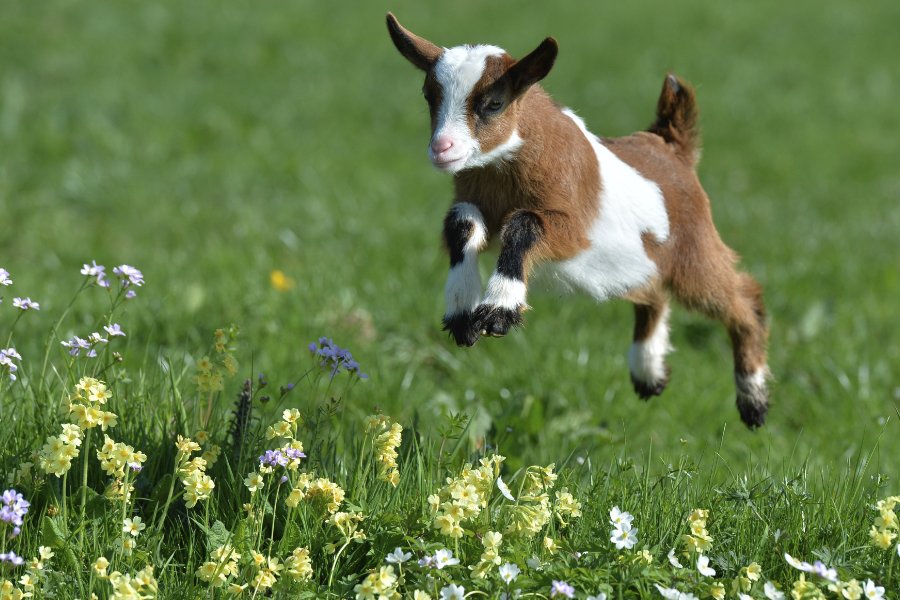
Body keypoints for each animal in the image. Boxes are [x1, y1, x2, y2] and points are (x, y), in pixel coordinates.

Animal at [384, 14, 768, 426]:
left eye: (494, 103)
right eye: (429, 96)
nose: (442, 149)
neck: (505, 169)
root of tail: (671, 144)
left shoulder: (574, 229)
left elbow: (524, 223)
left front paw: (500, 311)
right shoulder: (474, 200)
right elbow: (462, 222)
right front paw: (461, 311)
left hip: (693, 249)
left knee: (742, 298)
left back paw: (753, 398)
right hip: (640, 261)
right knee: (654, 294)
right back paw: (648, 373)